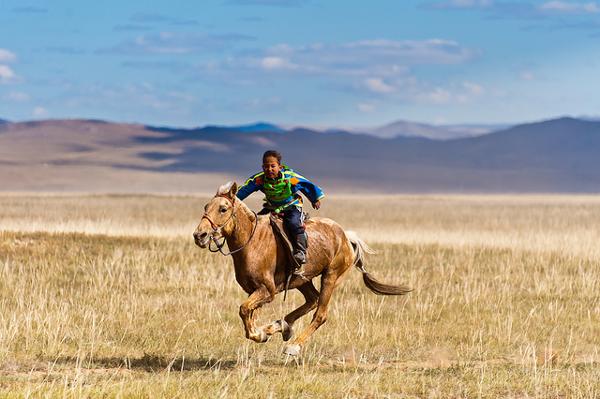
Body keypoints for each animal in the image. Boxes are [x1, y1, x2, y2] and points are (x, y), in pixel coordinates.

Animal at [193, 181, 412, 356]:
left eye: (223, 209)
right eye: (206, 206)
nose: (199, 235)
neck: (251, 241)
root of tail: (345, 236)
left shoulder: (267, 290)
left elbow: (244, 310)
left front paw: (259, 334)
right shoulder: (253, 290)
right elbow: (248, 313)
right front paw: (263, 332)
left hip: (331, 276)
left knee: (320, 314)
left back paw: (293, 346)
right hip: (302, 279)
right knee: (312, 300)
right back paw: (280, 326)